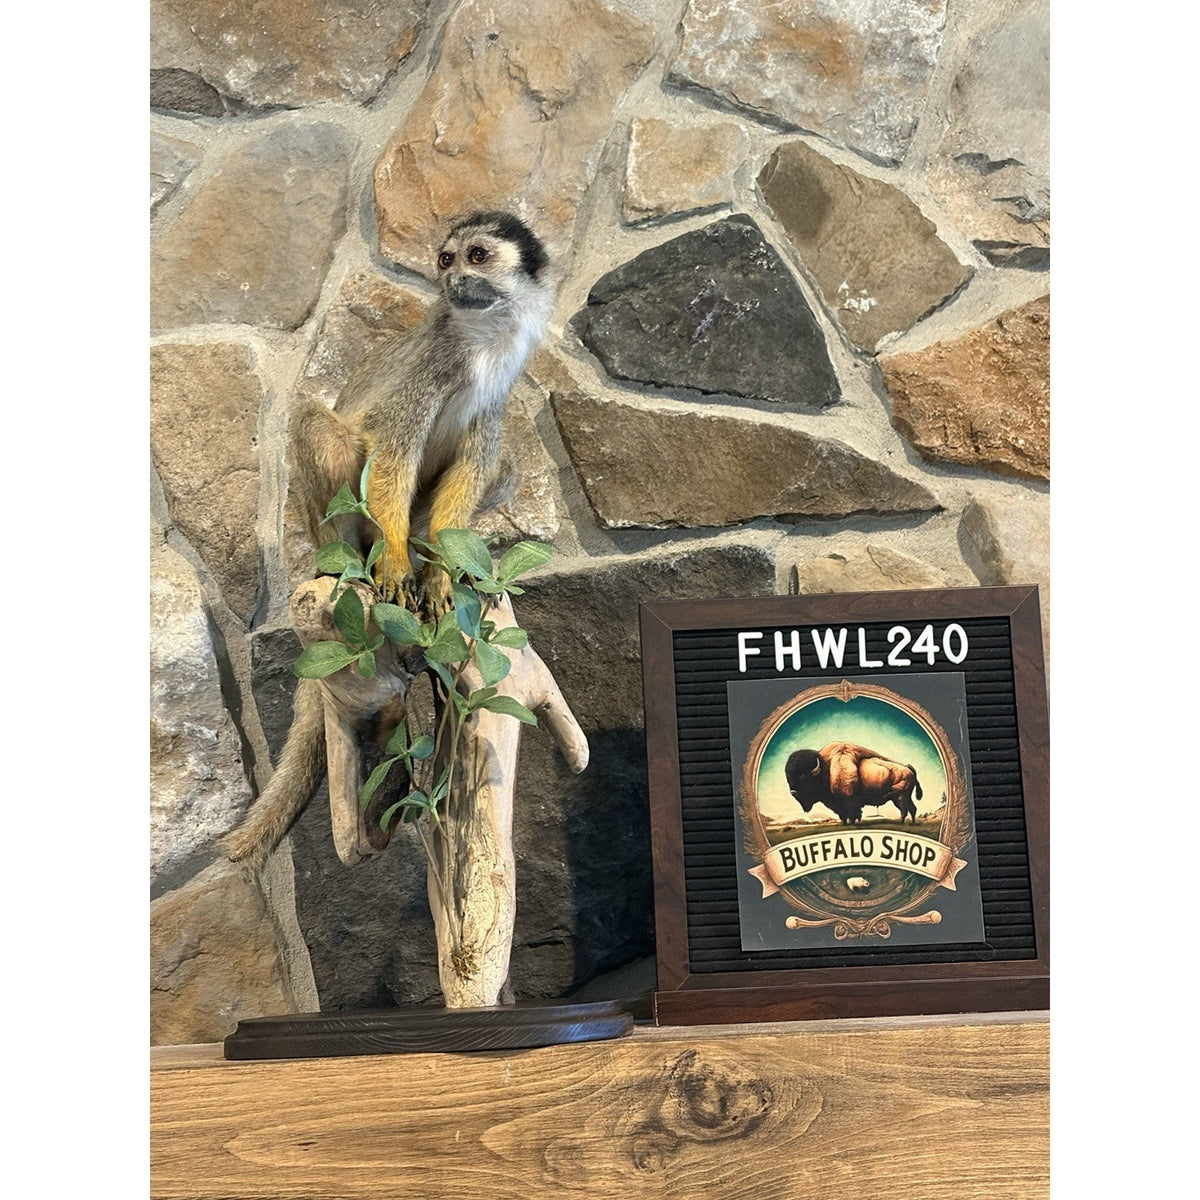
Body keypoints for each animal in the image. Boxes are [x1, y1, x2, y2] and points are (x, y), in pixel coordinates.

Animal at [221, 211, 553, 869]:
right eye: (447, 259)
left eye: (477, 256)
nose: (453, 281)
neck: (482, 340)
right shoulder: (433, 362)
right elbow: (390, 450)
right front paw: (398, 569)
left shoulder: (505, 377)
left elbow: (477, 465)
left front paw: (440, 573)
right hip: (325, 522)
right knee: (322, 427)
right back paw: (357, 566)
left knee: (502, 467)